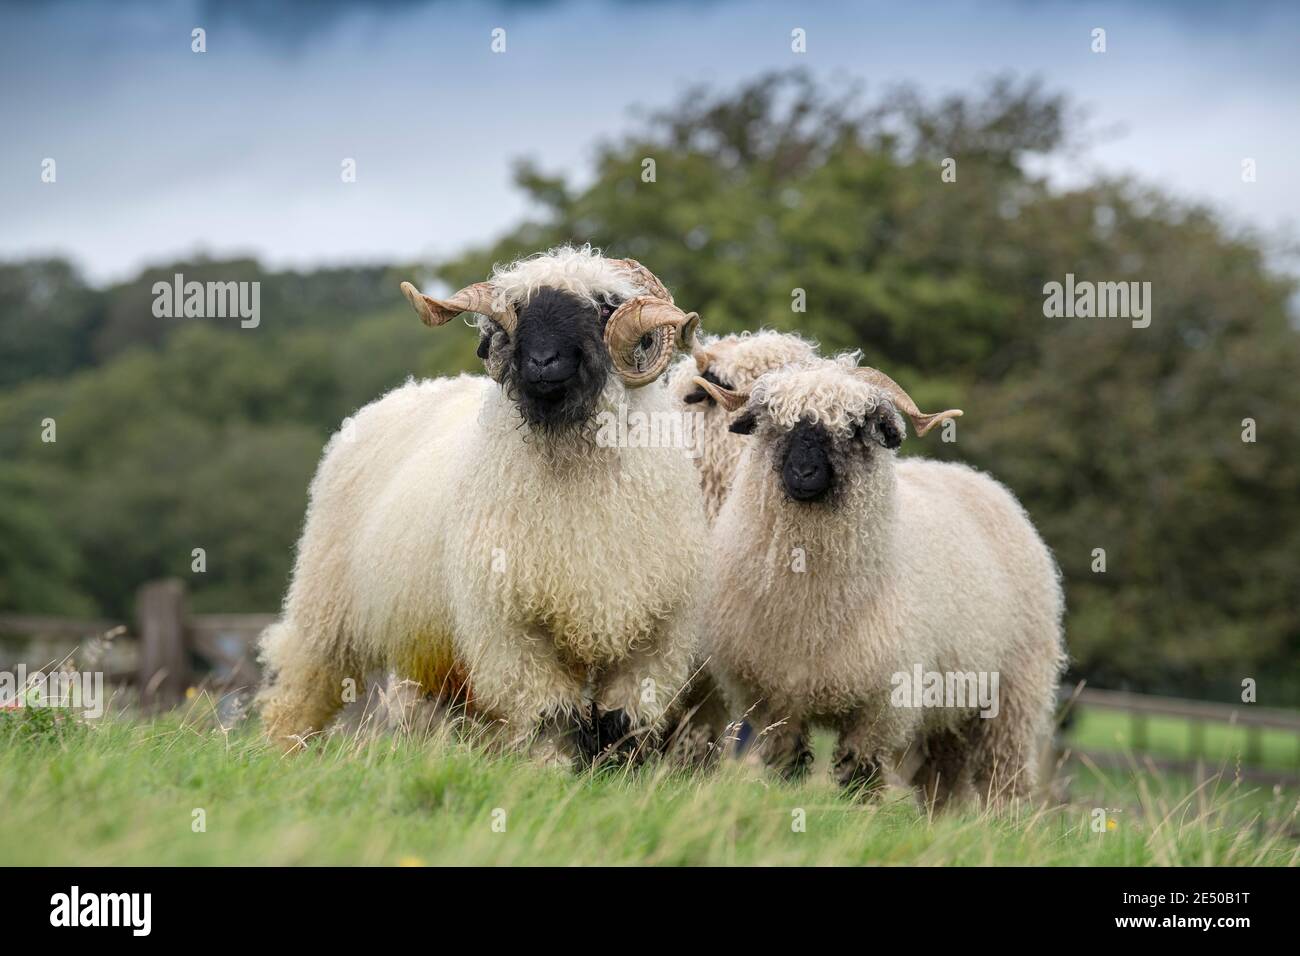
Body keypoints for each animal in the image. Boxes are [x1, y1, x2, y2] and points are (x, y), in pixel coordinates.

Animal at [257, 247, 712, 770]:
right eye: (517, 309)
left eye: (603, 307)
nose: (542, 361)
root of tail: (404, 391)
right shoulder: (509, 627)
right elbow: (553, 716)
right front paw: (551, 773)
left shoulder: (659, 634)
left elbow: (621, 725)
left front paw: (614, 777)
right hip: (328, 603)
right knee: (303, 677)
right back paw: (282, 751)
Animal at [696, 356, 1071, 806]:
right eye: (775, 421)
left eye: (856, 427)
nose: (802, 473)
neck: (810, 607)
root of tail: (976, 477)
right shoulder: (773, 700)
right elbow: (789, 764)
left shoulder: (882, 705)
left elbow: (858, 773)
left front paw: (858, 812)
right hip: (950, 707)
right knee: (942, 777)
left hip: (1012, 692)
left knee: (1003, 774)